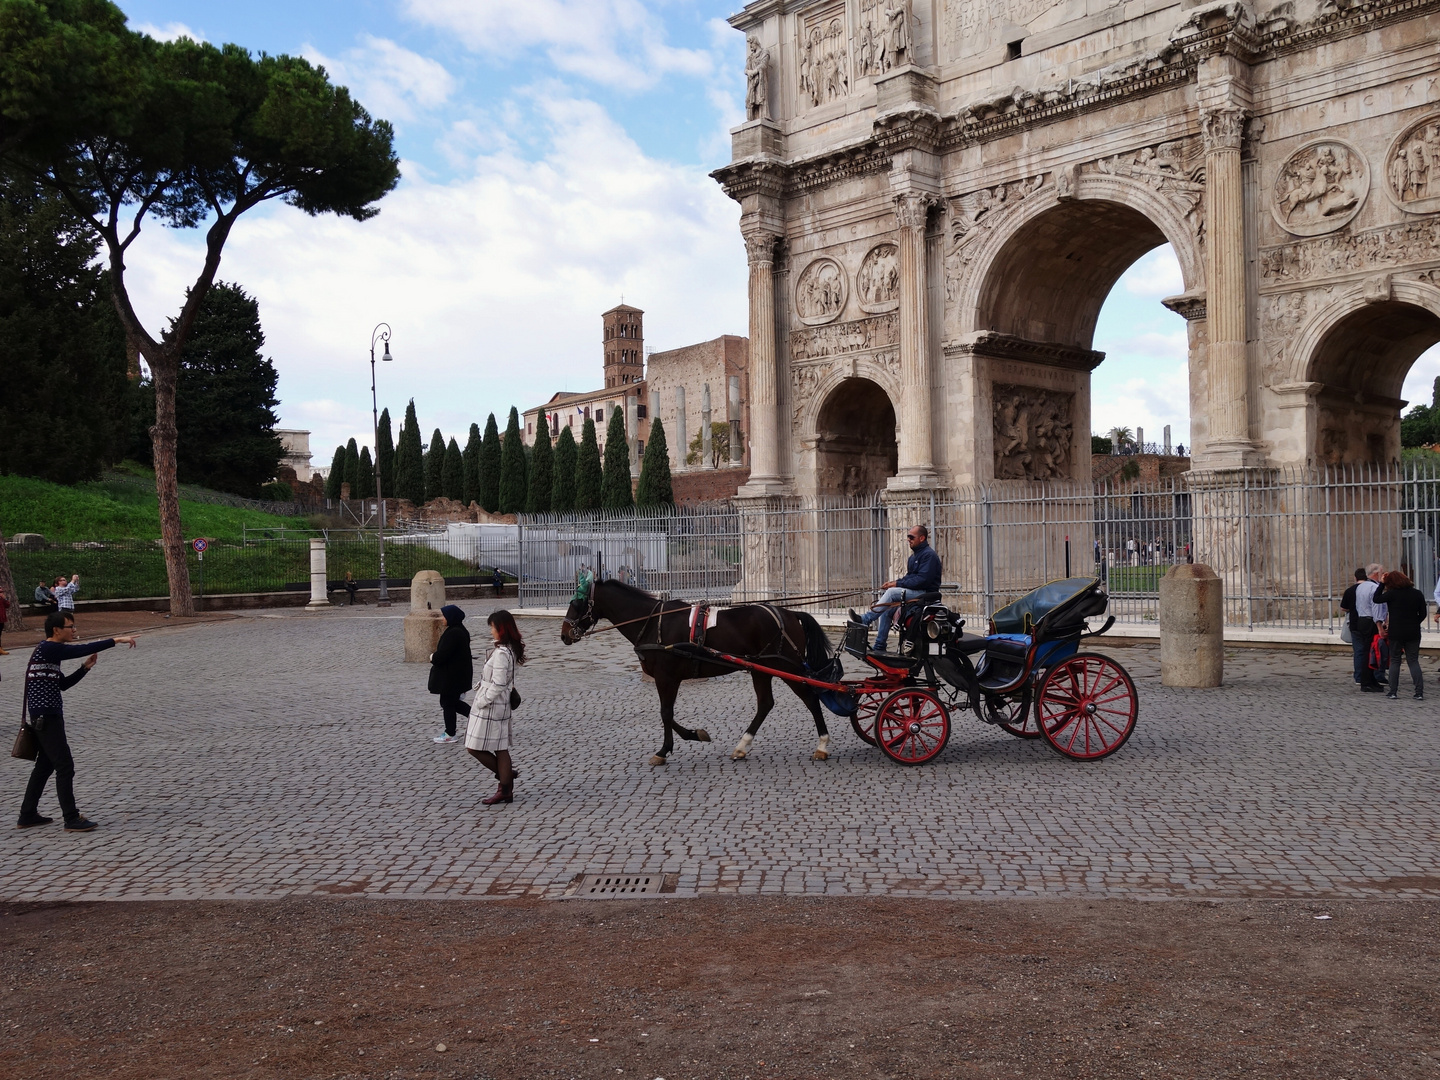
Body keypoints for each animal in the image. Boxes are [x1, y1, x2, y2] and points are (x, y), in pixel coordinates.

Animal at [558, 578, 840, 766]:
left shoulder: (666, 677)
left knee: (810, 698)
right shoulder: (668, 679)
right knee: (765, 704)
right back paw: (742, 746)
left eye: (577, 602)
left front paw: (668, 748)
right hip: (760, 669)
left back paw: (822, 744)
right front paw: (692, 736)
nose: (564, 634)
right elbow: (667, 714)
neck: (652, 622)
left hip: (785, 667)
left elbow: (665, 713)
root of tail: (790, 613)